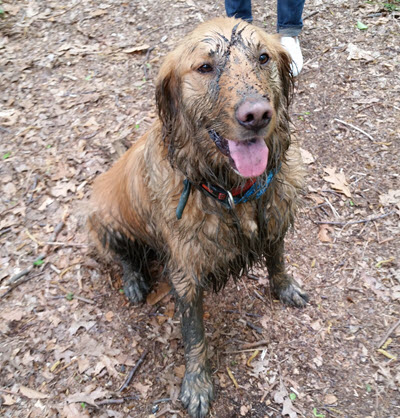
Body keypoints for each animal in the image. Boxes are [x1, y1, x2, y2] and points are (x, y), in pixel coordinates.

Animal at [88, 17, 310, 418]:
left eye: (264, 57)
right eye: (205, 67)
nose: (256, 115)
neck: (230, 190)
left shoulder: (275, 218)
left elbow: (277, 259)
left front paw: (285, 286)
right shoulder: (186, 272)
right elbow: (195, 336)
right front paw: (197, 384)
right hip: (106, 221)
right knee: (124, 257)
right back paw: (134, 280)